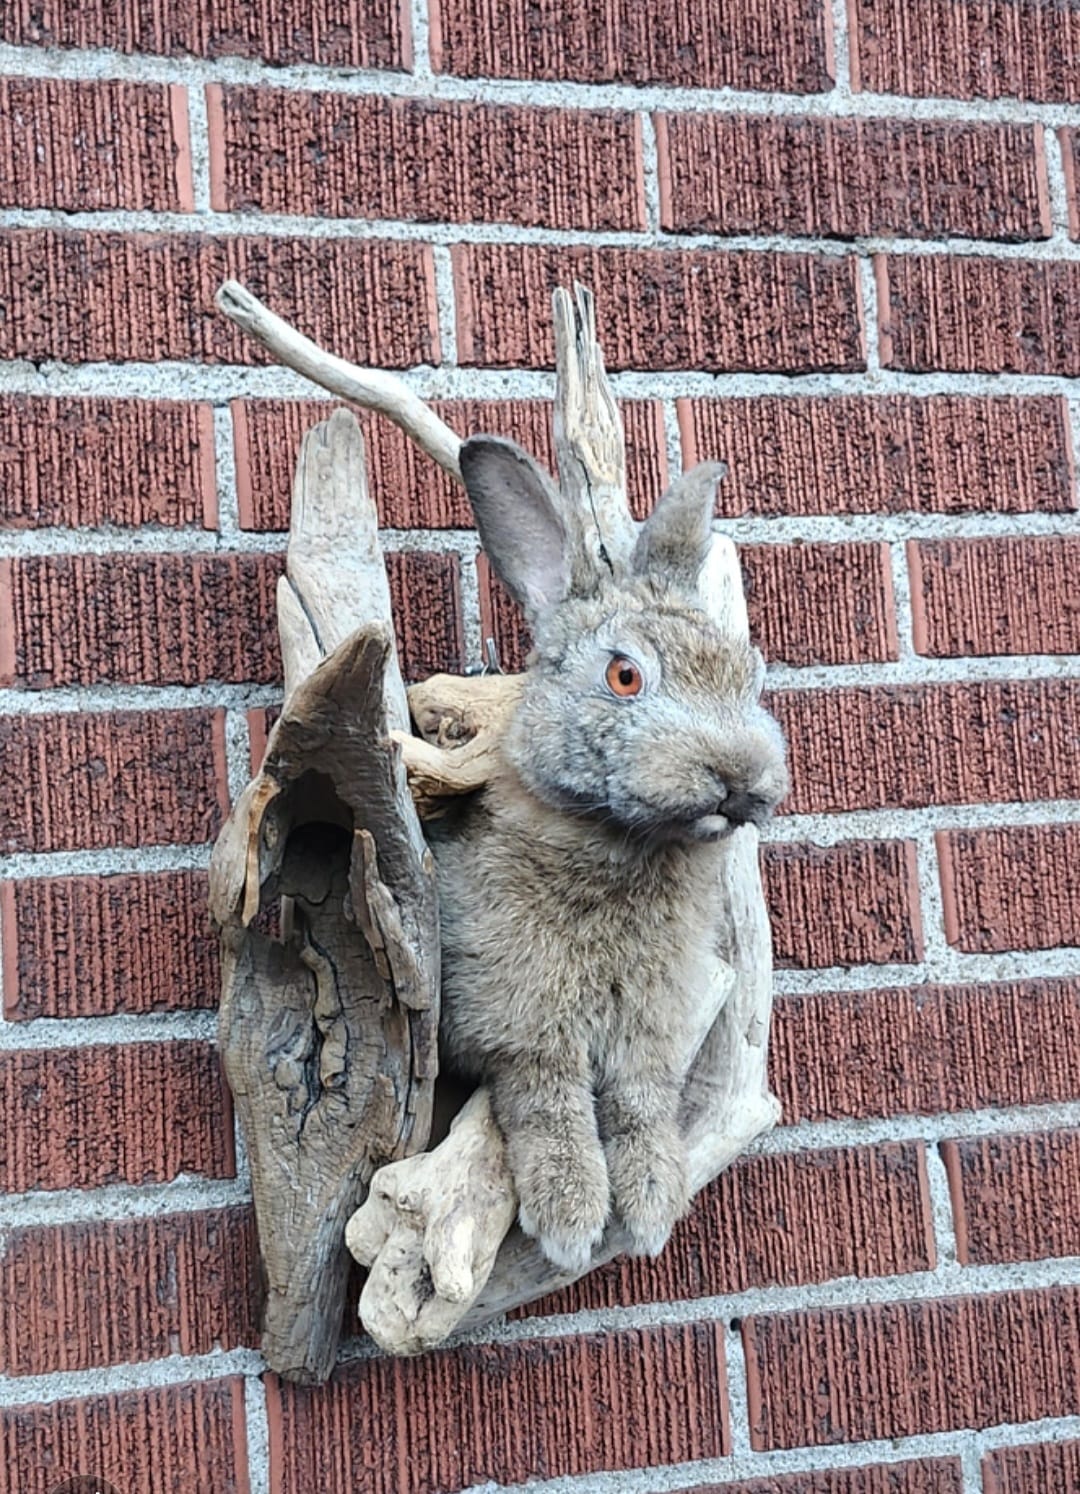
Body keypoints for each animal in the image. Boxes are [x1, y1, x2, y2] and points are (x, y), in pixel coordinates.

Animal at [426, 435, 789, 1274]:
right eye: (625, 676)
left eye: (748, 675)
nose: (738, 779)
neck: (624, 845)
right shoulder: (520, 1020)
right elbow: (549, 1106)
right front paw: (569, 1218)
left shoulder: (651, 1025)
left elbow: (639, 1102)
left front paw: (653, 1204)